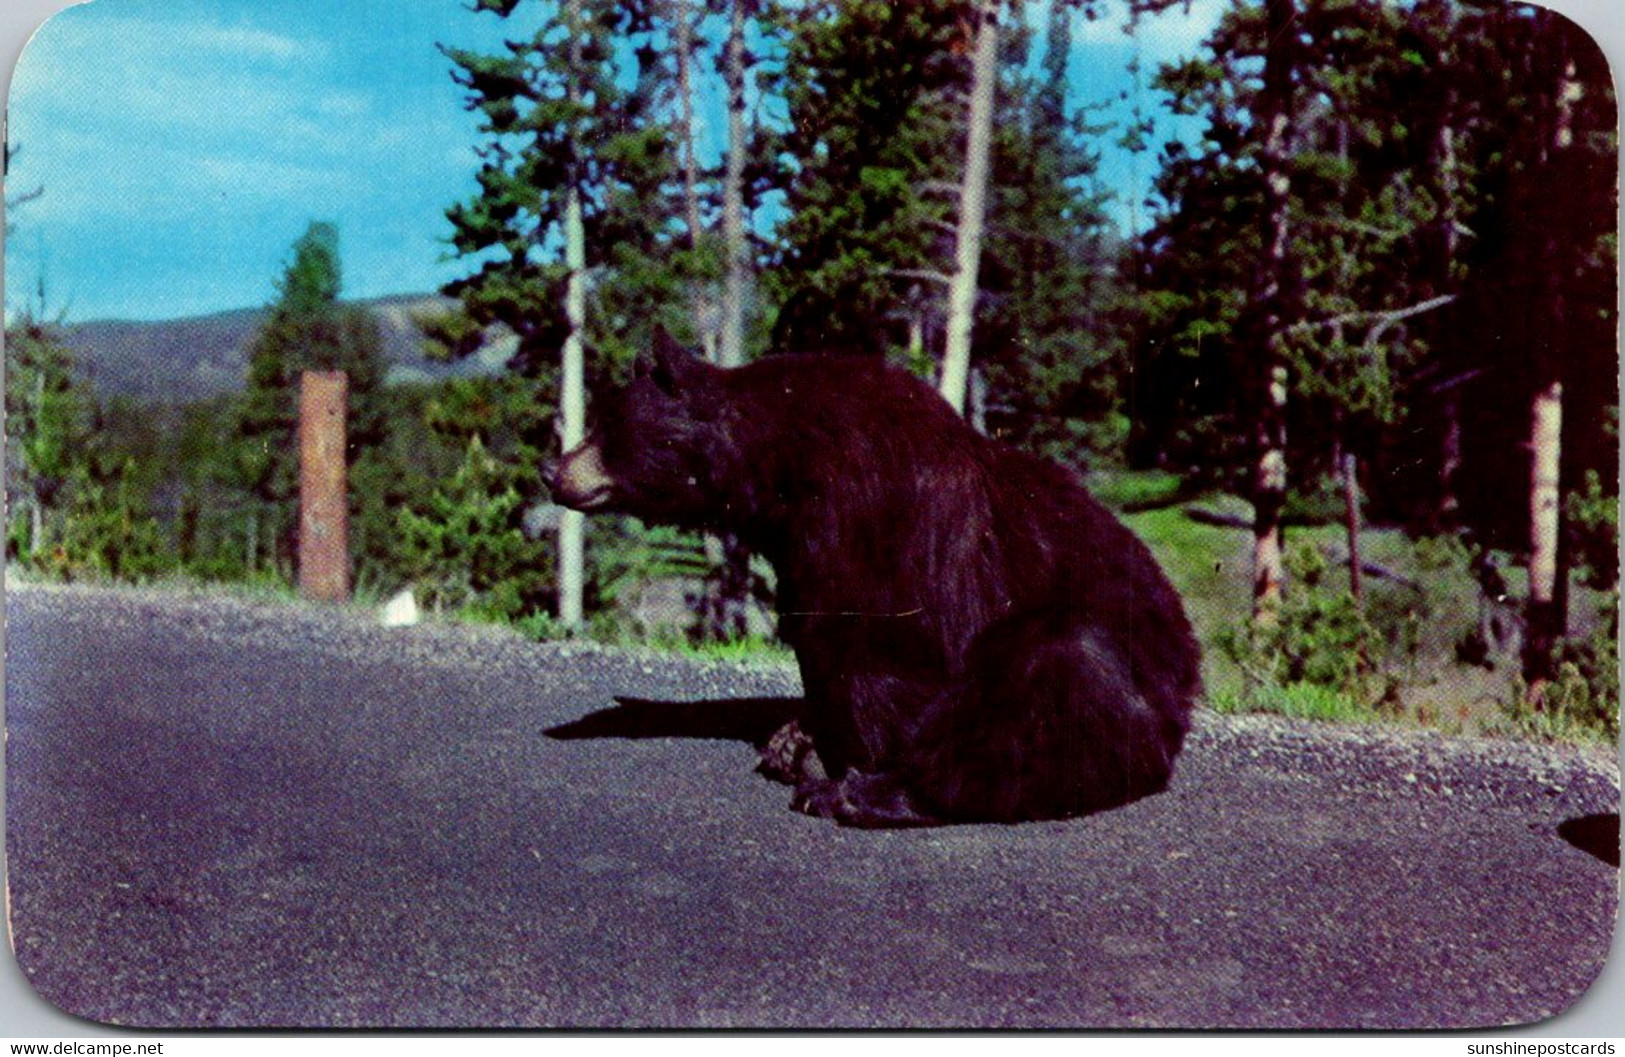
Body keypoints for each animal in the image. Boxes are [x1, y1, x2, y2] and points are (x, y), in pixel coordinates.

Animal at [552, 333, 1202, 826]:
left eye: (606, 424)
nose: (552, 472)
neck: (780, 464)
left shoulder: (865, 515)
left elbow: (875, 651)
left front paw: (845, 760)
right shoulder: (797, 546)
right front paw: (799, 735)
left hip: (1105, 674)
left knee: (1051, 672)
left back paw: (865, 795)